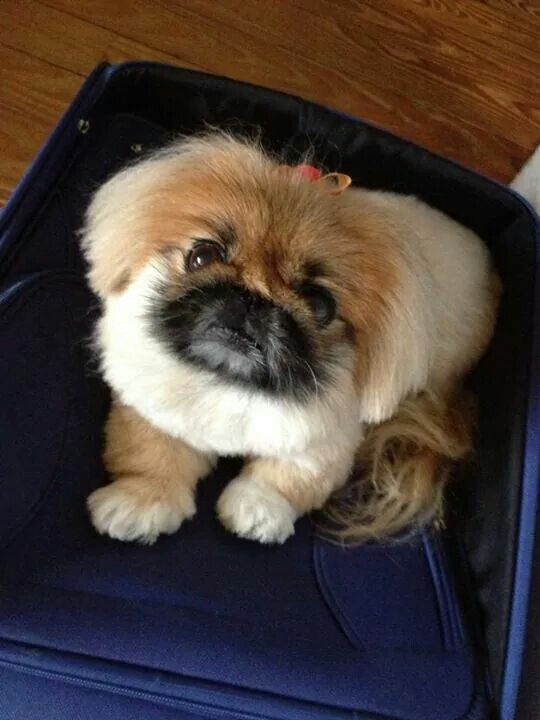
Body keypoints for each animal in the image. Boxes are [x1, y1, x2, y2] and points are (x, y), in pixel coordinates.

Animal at [82, 131, 500, 544]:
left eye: (319, 304)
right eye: (202, 255)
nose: (252, 298)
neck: (231, 382)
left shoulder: (328, 440)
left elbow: (291, 476)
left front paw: (258, 510)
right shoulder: (149, 405)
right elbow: (149, 452)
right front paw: (142, 501)